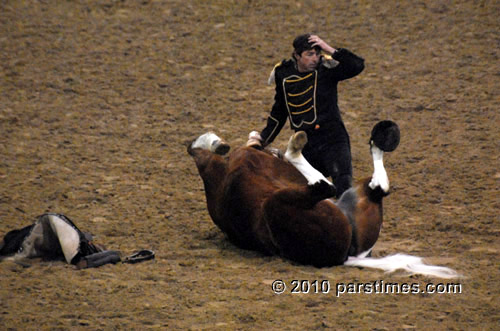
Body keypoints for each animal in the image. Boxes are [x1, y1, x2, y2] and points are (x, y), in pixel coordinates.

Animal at [187, 123, 458, 278]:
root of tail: (345, 256)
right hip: (283, 202)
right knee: (336, 187)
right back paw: (295, 148)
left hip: (345, 199)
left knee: (371, 187)